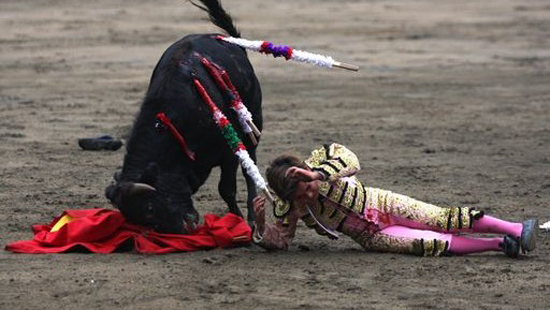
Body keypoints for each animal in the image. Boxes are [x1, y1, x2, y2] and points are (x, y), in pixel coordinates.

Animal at [107, 24, 266, 232]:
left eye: (149, 208)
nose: (183, 228)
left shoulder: (228, 152)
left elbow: (226, 189)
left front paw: (238, 220)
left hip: (252, 123)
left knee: (250, 167)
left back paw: (253, 217)